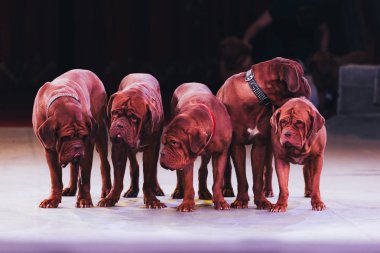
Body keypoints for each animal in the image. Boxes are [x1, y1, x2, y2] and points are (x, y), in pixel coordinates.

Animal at [32, 68, 111, 208]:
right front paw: (53, 199)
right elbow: (55, 178)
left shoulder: (88, 148)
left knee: (104, 162)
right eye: (65, 137)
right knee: (74, 167)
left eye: (84, 136)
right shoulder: (50, 150)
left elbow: (85, 176)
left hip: (100, 130)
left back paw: (107, 190)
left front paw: (84, 199)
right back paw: (71, 188)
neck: (64, 99)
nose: (77, 147)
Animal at [97, 72, 166, 208]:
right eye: (115, 113)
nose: (120, 125)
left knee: (153, 170)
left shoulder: (151, 149)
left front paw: (151, 199)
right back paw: (132, 190)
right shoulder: (118, 149)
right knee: (134, 165)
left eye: (134, 118)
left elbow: (149, 175)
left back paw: (156, 189)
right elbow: (118, 177)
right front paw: (110, 198)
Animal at [158, 82, 232, 211]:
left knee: (203, 169)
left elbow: (218, 180)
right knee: (179, 174)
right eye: (164, 142)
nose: (162, 154)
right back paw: (179, 191)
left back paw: (204, 191)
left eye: (174, 142)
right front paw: (187, 203)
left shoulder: (220, 154)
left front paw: (220, 201)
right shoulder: (186, 157)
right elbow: (188, 182)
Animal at [218, 57, 310, 210]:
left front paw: (261, 200)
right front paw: (241, 200)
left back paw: (267, 190)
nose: (307, 82)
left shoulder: (260, 144)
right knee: (227, 167)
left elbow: (258, 176)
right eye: (301, 75)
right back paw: (227, 190)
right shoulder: (237, 145)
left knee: (269, 168)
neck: (255, 95)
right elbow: (241, 175)